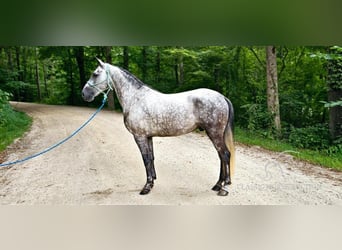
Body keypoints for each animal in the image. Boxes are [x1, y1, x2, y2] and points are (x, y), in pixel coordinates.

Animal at [82, 57, 235, 196]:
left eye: (95, 74)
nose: (84, 94)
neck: (135, 98)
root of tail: (222, 97)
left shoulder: (140, 136)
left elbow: (145, 159)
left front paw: (147, 187)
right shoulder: (148, 136)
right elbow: (151, 158)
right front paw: (152, 182)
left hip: (214, 133)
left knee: (225, 155)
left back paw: (224, 187)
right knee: (221, 156)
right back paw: (217, 185)